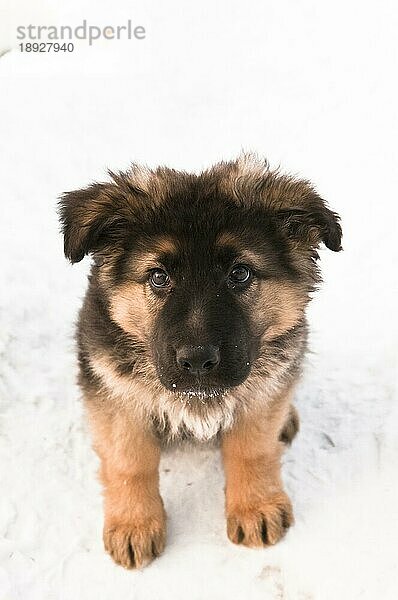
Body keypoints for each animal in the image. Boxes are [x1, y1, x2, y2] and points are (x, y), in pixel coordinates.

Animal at [59, 154, 342, 568]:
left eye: (240, 273)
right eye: (159, 277)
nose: (196, 361)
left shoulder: (263, 390)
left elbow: (253, 448)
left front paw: (255, 506)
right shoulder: (114, 392)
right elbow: (129, 460)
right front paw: (134, 524)